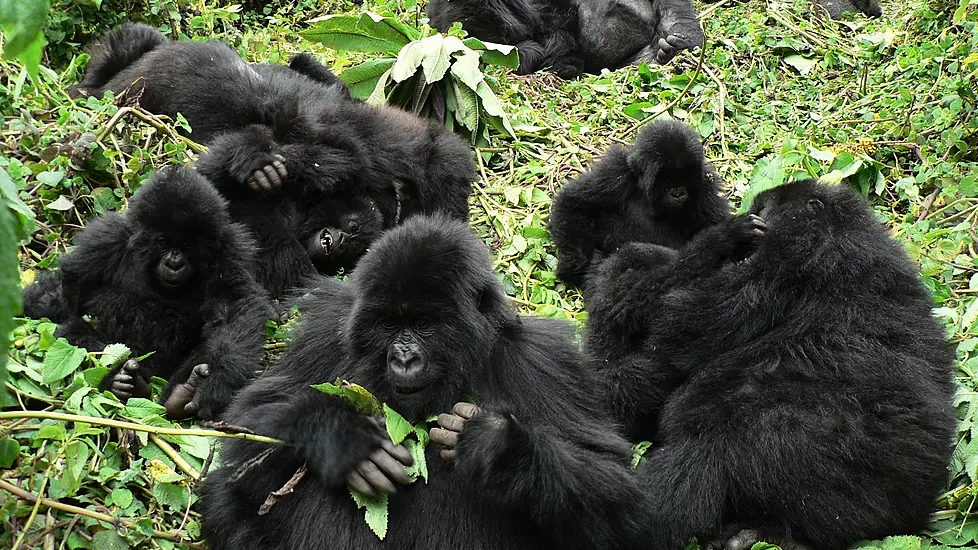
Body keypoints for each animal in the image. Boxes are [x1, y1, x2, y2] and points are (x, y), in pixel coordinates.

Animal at [23, 166, 274, 420]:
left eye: (187, 245)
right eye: (163, 242)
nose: (174, 264)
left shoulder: (231, 250)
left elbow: (233, 309)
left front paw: (215, 381)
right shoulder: (104, 240)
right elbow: (67, 290)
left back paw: (182, 392)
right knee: (73, 335)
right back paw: (124, 383)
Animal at [198, 215, 648, 550]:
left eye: (424, 324)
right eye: (388, 324)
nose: (403, 357)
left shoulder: (545, 361)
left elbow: (614, 495)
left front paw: (500, 447)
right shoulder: (327, 328)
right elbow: (247, 424)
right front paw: (340, 433)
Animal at [544, 120, 728, 292]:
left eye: (685, 176)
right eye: (666, 178)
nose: (678, 193)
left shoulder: (705, 185)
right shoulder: (615, 172)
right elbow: (574, 202)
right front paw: (574, 264)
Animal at [580, 179, 952, 548]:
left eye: (763, 208)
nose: (751, 215)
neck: (839, 227)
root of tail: (910, 516)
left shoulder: (786, 263)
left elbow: (677, 328)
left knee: (707, 445)